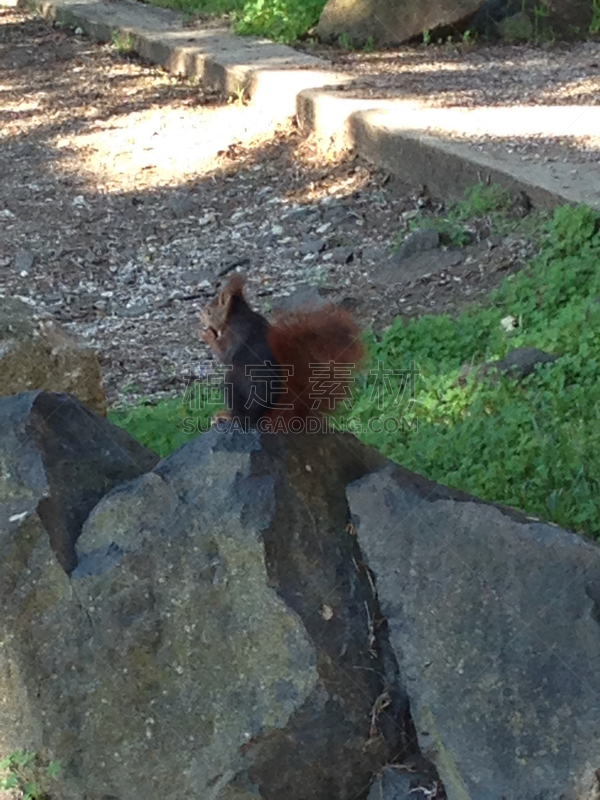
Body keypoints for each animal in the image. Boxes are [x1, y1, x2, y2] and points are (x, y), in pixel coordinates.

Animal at [199, 274, 364, 432]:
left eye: (208, 311)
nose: (200, 317)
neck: (236, 316)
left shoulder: (235, 333)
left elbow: (225, 355)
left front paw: (207, 335)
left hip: (234, 385)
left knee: (245, 420)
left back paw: (227, 416)